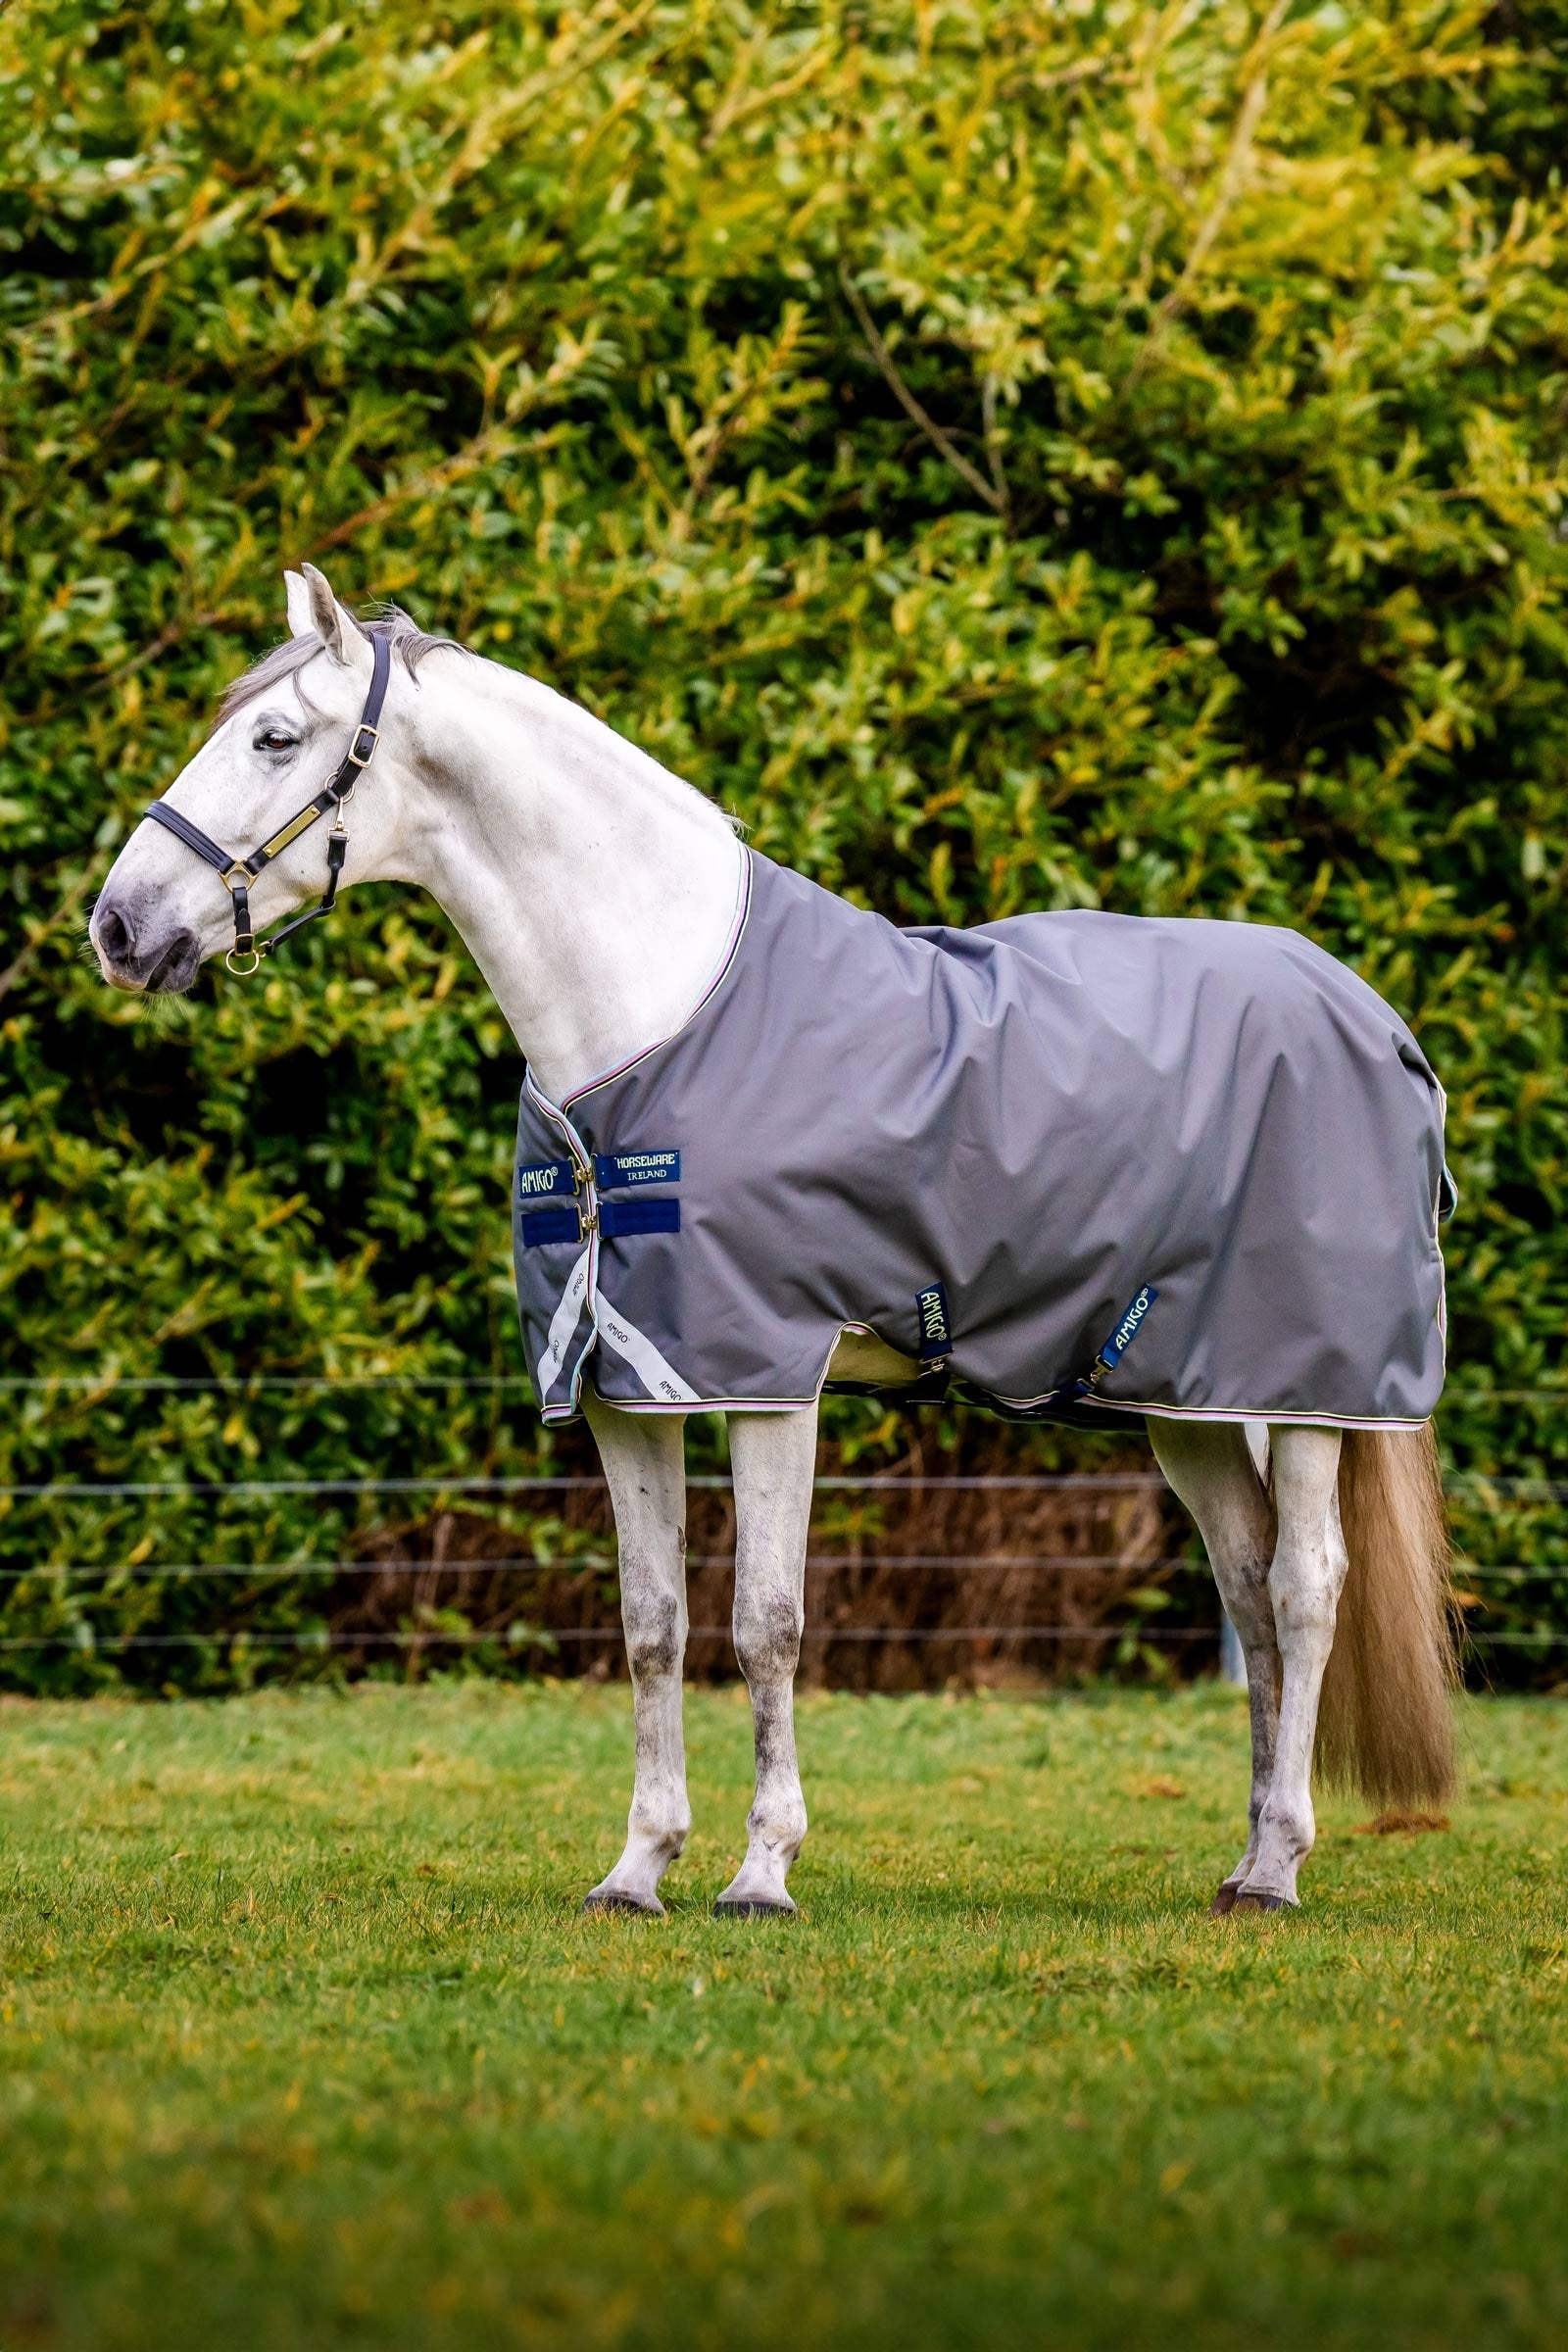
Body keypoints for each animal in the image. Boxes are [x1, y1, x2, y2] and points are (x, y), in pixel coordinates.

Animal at [90, 565, 1457, 1919]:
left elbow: (766, 1622)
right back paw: (1242, 1860)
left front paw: (761, 1872)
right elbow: (652, 1623)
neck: (653, 1014)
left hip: (1309, 1388)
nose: (117, 928)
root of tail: (1372, 1018)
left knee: (1304, 1588)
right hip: (1192, 1401)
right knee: (1249, 1594)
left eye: (274, 738)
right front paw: (637, 1869)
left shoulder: (766, 1376)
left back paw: (1277, 1868)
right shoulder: (623, 1384)